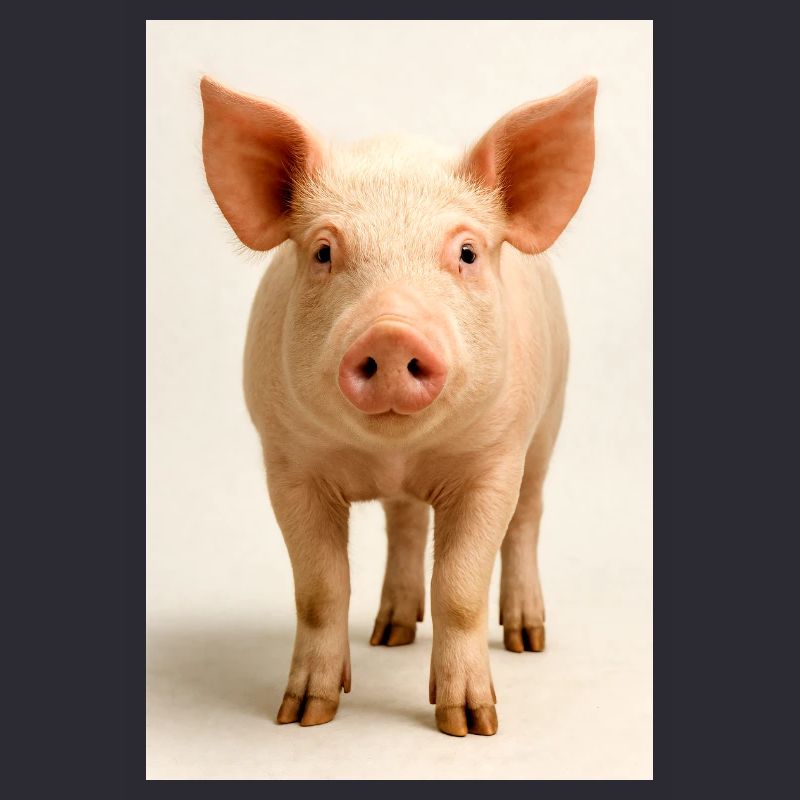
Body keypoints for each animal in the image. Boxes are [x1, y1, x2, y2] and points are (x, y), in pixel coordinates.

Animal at [200, 74, 597, 737]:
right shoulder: (287, 463)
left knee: (527, 519)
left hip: (550, 421)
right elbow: (320, 589)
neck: (395, 453)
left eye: (466, 253)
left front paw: (472, 725)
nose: (390, 333)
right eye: (323, 252)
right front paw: (303, 716)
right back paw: (389, 635)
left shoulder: (494, 460)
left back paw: (526, 639)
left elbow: (460, 586)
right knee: (406, 523)